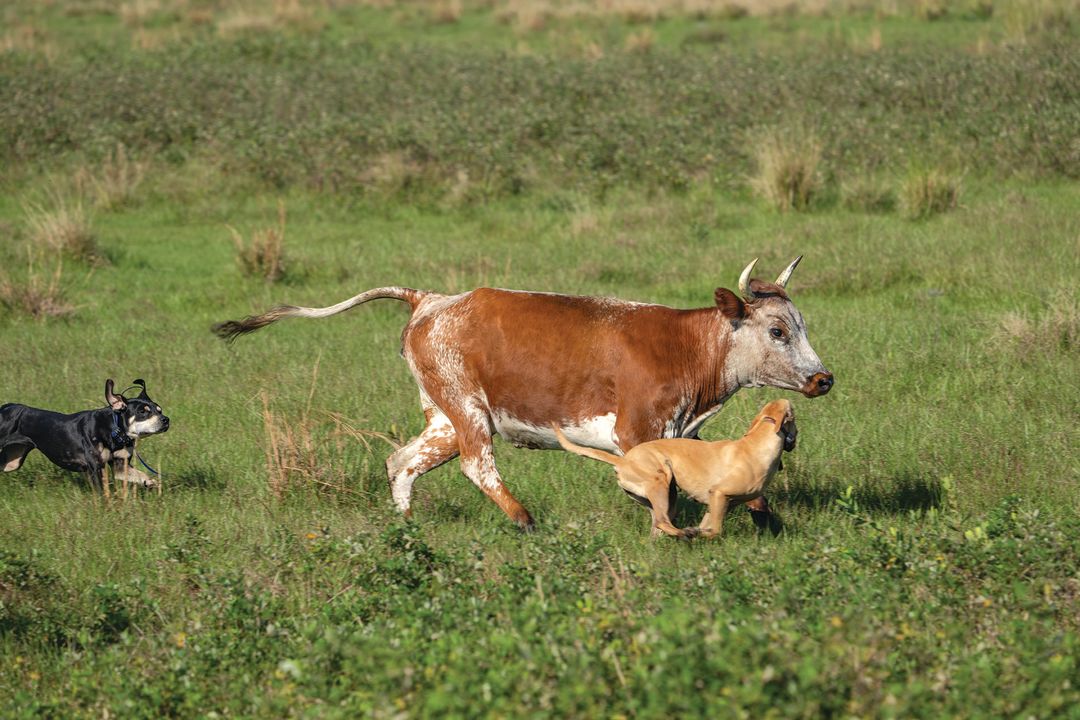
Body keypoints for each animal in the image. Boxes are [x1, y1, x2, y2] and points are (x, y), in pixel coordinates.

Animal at [0, 377, 168, 490]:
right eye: (143, 412)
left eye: (159, 410)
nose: (166, 420)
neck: (114, 430)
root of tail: (5, 408)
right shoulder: (95, 468)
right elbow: (103, 494)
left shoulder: (120, 466)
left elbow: (141, 475)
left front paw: (151, 482)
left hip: (13, 461)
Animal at [557, 399, 794, 539]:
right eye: (793, 415)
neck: (756, 442)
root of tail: (623, 462)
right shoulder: (718, 493)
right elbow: (715, 530)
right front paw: (698, 533)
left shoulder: (717, 504)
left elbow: (708, 523)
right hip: (661, 481)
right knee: (663, 522)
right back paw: (684, 533)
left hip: (661, 497)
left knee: (658, 525)